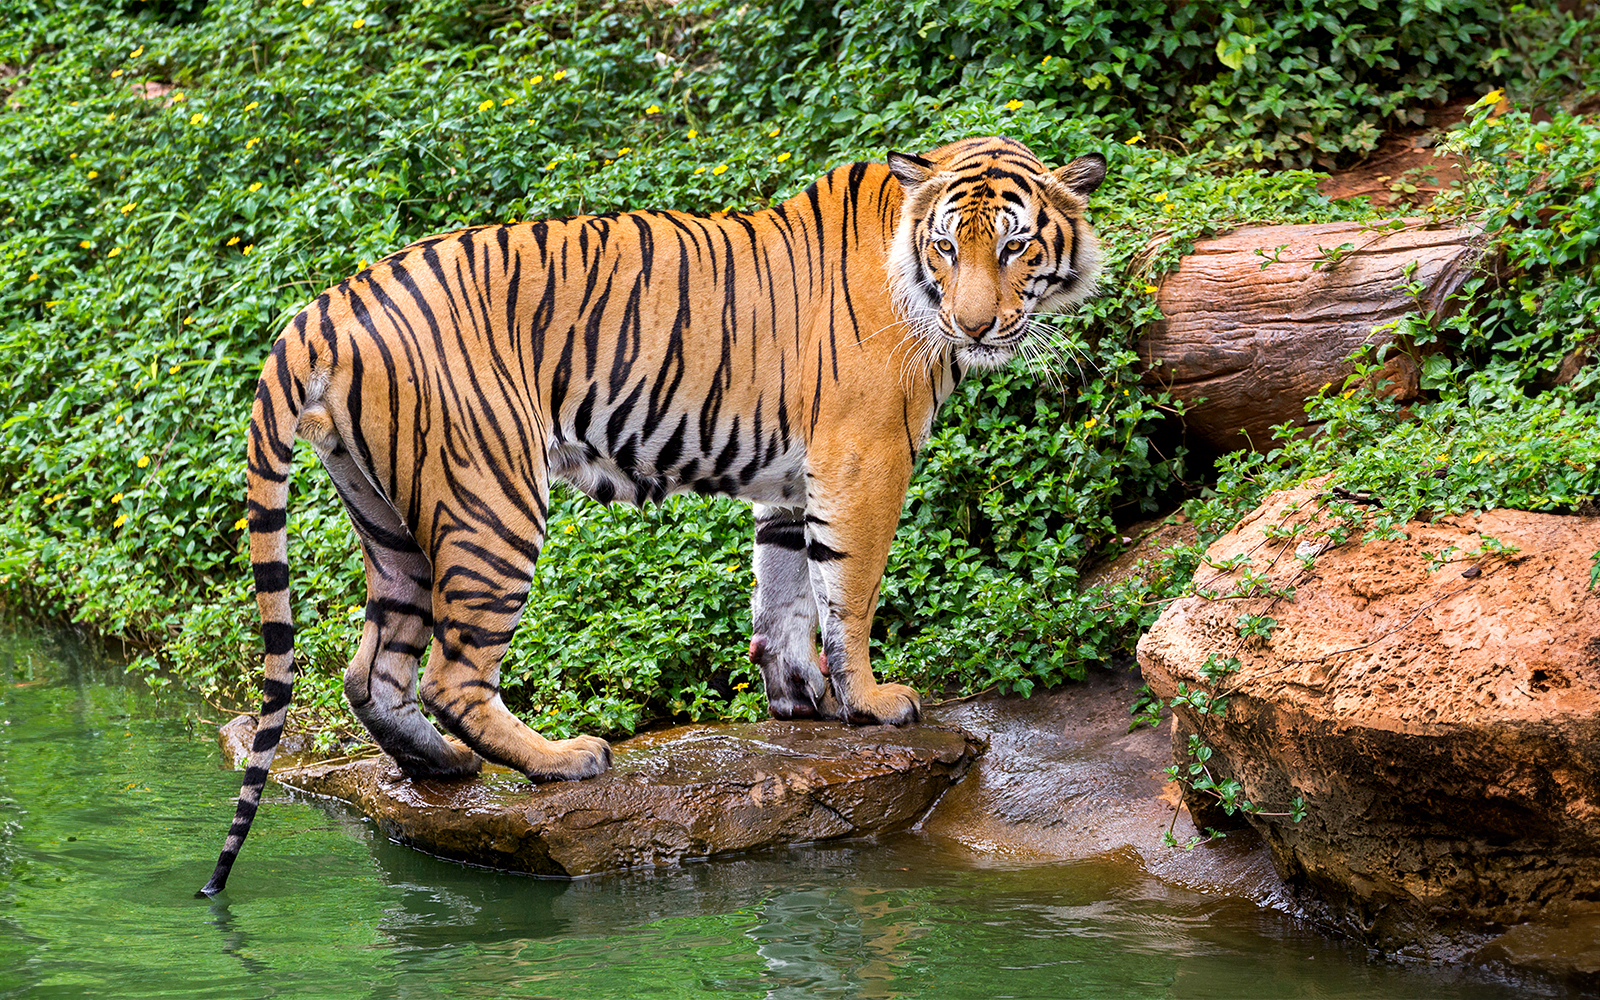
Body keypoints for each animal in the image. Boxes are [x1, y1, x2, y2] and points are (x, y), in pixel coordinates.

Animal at [199, 135, 1106, 895]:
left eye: (1015, 245)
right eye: (948, 247)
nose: (974, 324)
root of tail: (324, 304)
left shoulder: (792, 481)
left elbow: (783, 593)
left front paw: (798, 701)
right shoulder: (864, 459)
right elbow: (848, 591)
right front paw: (873, 703)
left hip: (386, 513)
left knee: (372, 670)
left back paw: (442, 768)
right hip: (493, 497)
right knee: (451, 673)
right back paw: (563, 760)